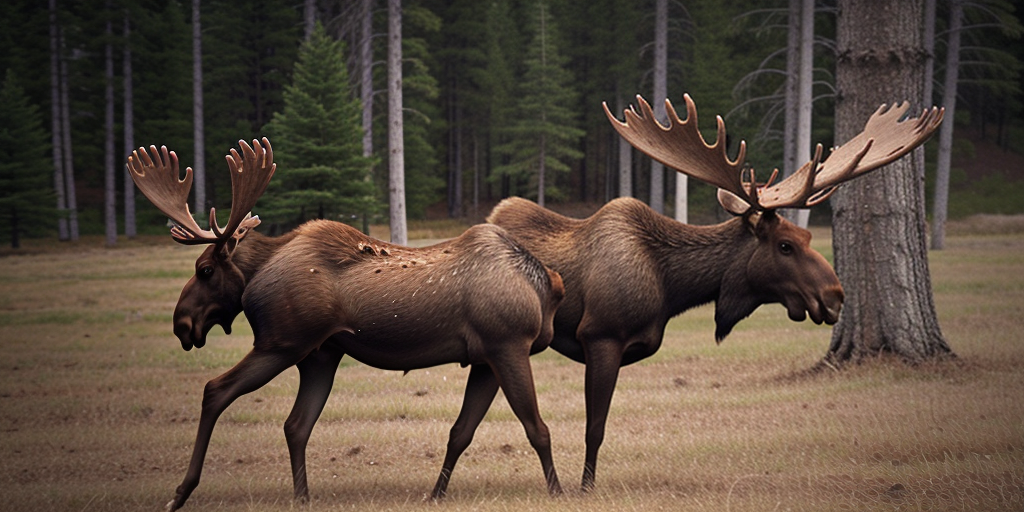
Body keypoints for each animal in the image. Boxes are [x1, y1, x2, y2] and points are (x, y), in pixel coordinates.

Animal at [125, 138, 565, 510]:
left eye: (204, 270)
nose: (182, 323)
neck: (545, 287)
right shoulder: (507, 345)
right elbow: (536, 427)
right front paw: (558, 491)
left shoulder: (487, 356)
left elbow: (462, 431)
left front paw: (436, 494)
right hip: (282, 343)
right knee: (217, 391)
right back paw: (181, 492)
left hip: (316, 354)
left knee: (294, 423)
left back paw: (301, 496)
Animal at [487, 94, 943, 492]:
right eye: (785, 245)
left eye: (809, 235)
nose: (834, 296)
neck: (671, 287)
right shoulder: (600, 336)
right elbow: (594, 428)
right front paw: (585, 488)